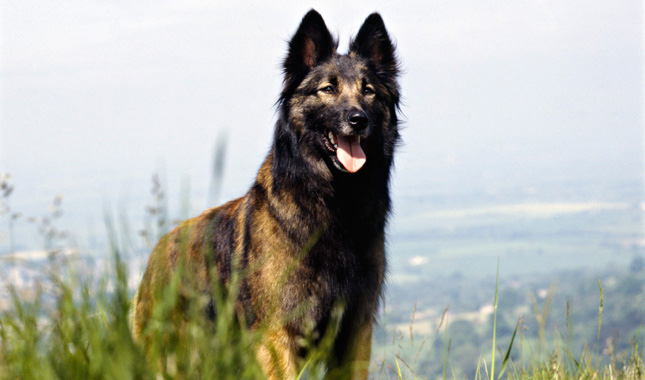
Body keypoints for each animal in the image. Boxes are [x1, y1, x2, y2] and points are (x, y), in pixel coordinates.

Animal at [133, 9, 400, 380]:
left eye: (369, 91)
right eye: (328, 89)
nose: (357, 119)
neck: (335, 204)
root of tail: (156, 254)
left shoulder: (355, 332)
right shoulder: (278, 335)